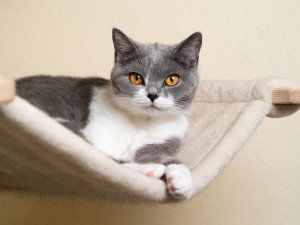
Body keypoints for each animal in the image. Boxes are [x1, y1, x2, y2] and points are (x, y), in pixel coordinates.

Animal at [17, 28, 203, 199]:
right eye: (136, 78)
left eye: (172, 79)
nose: (152, 95)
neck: (141, 121)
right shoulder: (98, 134)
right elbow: (102, 160)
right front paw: (174, 175)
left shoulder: (166, 138)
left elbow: (156, 155)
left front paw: (181, 179)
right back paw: (151, 170)